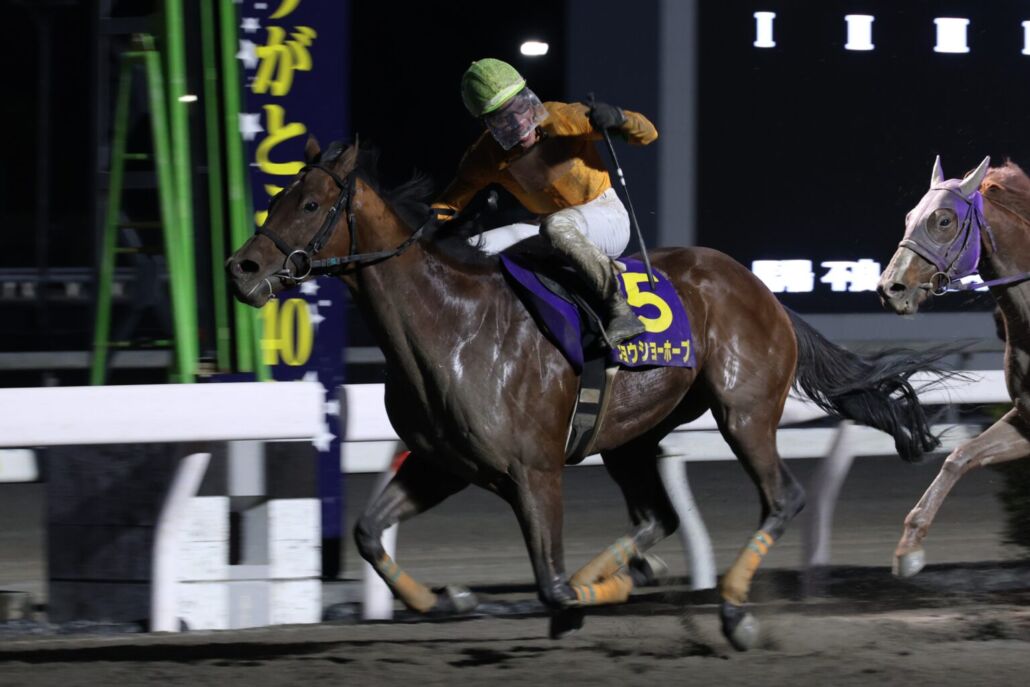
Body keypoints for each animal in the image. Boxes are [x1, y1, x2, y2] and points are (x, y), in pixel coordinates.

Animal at [226, 137, 945, 650]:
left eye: (309, 205)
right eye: (278, 195)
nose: (242, 268)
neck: (451, 324)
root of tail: (761, 290)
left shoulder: (533, 470)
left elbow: (548, 584)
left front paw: (564, 601)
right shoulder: (444, 464)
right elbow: (369, 533)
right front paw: (453, 599)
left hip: (742, 411)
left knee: (781, 497)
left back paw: (732, 610)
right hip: (633, 434)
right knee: (658, 517)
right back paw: (631, 574)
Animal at [878, 155, 1030, 578]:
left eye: (943, 220)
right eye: (909, 216)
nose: (890, 288)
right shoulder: (1026, 420)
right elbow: (959, 457)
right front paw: (909, 546)